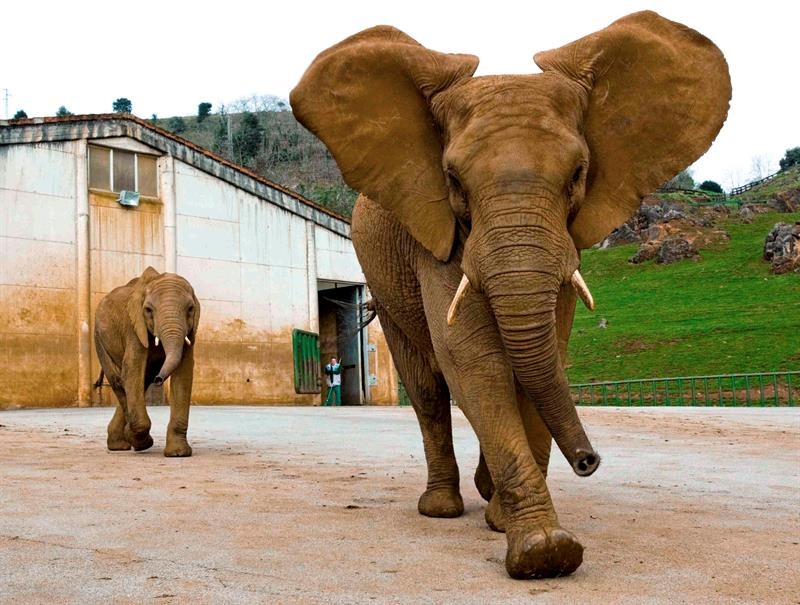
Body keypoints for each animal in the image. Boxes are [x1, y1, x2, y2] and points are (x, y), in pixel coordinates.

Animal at [94, 267, 200, 457]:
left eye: (190, 309)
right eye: (148, 310)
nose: (159, 379)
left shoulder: (190, 332)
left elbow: (184, 374)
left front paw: (178, 454)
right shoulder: (134, 327)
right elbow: (132, 368)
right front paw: (144, 444)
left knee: (139, 382)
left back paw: (121, 444)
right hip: (98, 338)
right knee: (119, 380)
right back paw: (127, 443)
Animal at [291, 11, 730, 579]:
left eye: (578, 175)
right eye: (453, 178)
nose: (589, 461)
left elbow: (544, 356)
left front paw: (508, 525)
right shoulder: (436, 232)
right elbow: (473, 358)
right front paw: (545, 552)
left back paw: (484, 495)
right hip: (384, 284)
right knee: (428, 388)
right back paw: (441, 508)